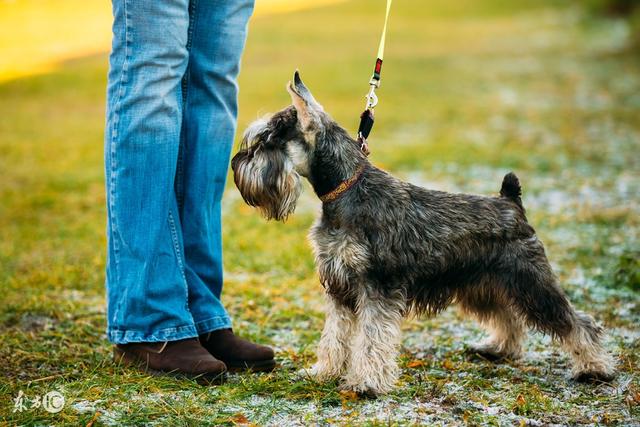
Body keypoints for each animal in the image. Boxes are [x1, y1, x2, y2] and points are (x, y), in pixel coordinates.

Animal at [230, 72, 616, 396]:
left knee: (576, 322)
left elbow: (371, 339)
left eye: (267, 142)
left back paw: (595, 369)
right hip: (483, 283)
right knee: (508, 317)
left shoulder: (377, 287)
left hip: (530, 281)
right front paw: (324, 372)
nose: (236, 164)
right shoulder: (339, 287)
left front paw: (366, 383)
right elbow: (335, 336)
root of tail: (511, 202)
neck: (345, 191)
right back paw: (498, 349)